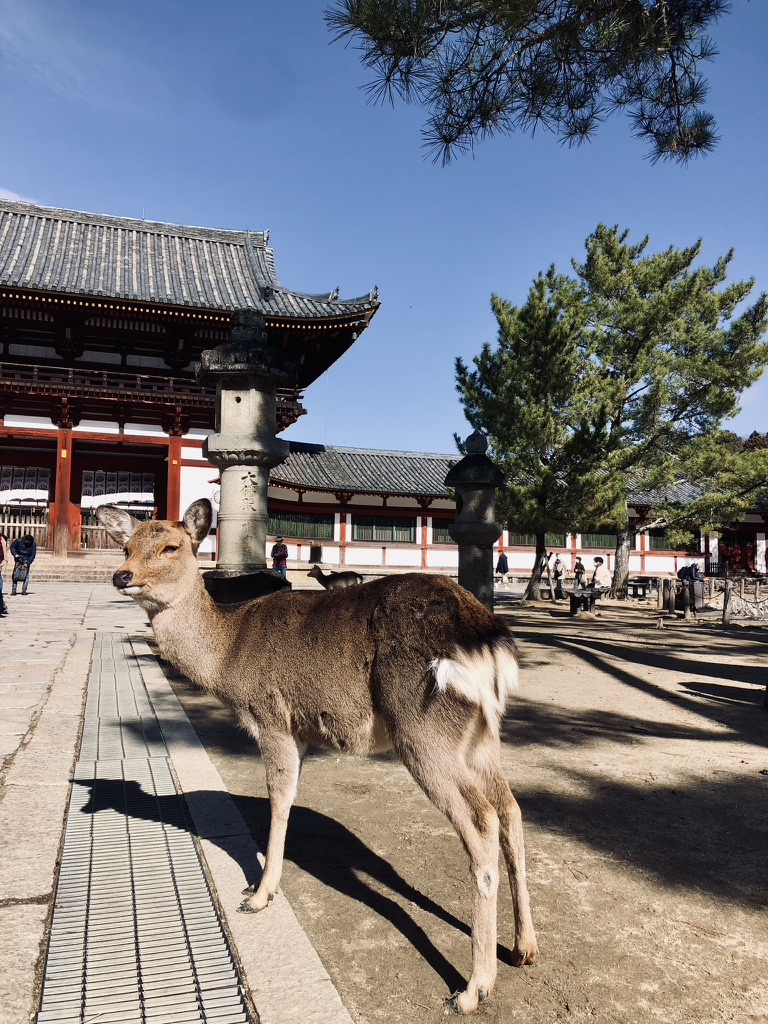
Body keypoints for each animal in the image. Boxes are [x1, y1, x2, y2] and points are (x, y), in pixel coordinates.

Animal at [96, 499, 538, 1014]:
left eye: (171, 546)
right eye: (125, 545)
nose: (122, 576)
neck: (227, 658)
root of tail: (486, 638)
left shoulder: (271, 716)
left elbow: (277, 798)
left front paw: (258, 895)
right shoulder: (303, 731)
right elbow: (289, 797)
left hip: (423, 731)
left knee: (482, 819)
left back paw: (472, 989)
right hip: (482, 737)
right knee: (511, 809)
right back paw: (525, 947)